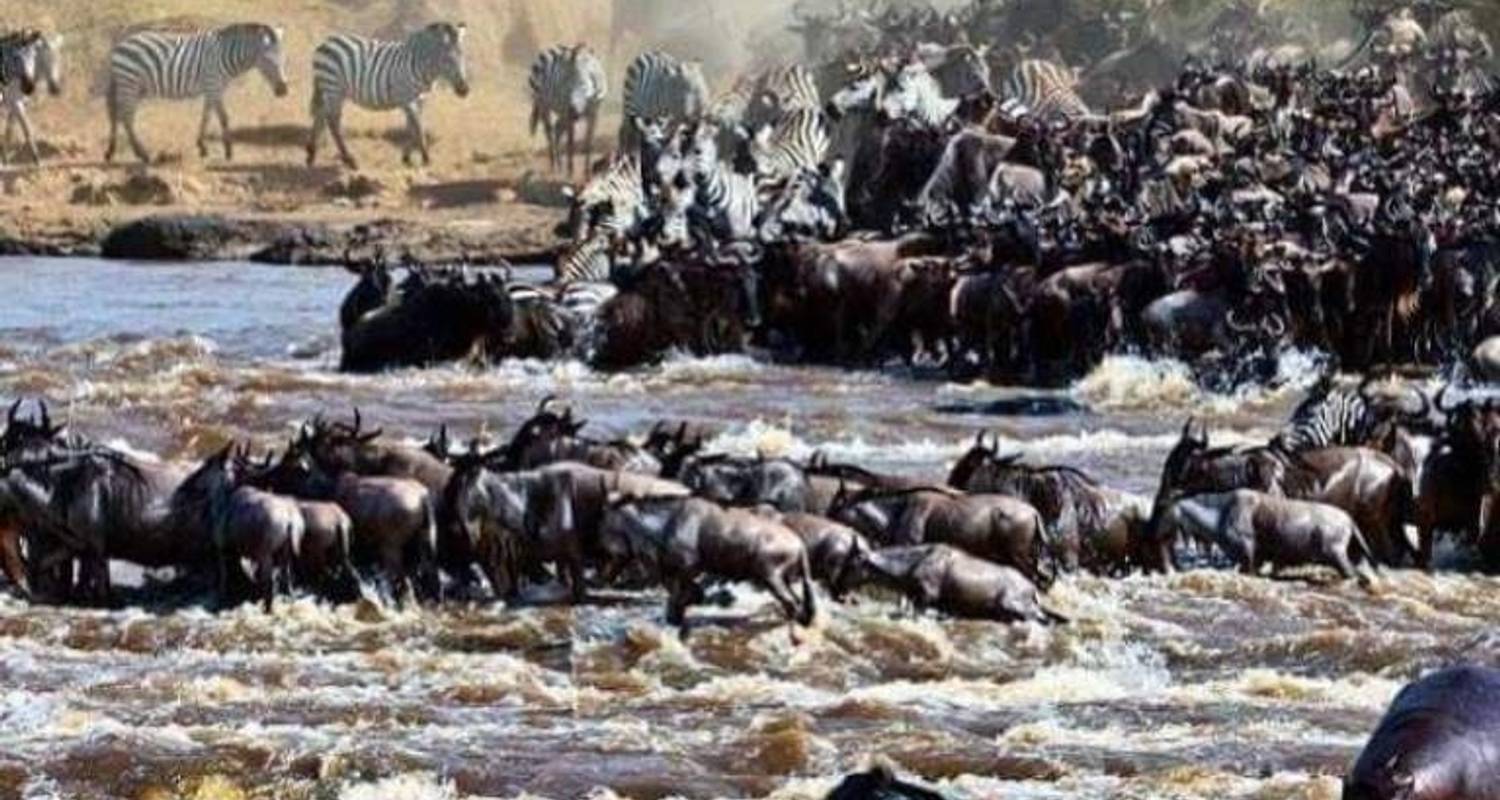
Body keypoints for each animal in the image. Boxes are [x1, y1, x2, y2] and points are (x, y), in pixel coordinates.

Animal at [0, 30, 61, 165]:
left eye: (57, 60)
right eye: (16, 58)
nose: (56, 89)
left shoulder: (15, 104)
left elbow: (9, 131)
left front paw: (5, 159)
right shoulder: (16, 103)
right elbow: (27, 130)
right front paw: (37, 159)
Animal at [105, 22, 289, 162]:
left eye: (283, 59)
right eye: (266, 60)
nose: (283, 90)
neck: (226, 55)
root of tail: (119, 44)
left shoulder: (212, 89)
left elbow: (206, 116)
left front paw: (202, 147)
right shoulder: (214, 86)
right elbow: (223, 118)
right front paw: (229, 152)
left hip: (136, 87)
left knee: (119, 116)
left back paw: (112, 152)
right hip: (129, 82)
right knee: (126, 117)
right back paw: (142, 154)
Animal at [306, 22, 465, 170]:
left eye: (463, 56)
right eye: (447, 60)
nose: (465, 90)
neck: (421, 67)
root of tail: (325, 42)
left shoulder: (420, 100)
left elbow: (412, 127)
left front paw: (406, 157)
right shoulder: (407, 98)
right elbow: (418, 128)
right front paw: (426, 159)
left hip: (329, 88)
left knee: (320, 115)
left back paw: (311, 156)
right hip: (333, 86)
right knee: (332, 121)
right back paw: (349, 160)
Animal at [531, 43, 606, 174]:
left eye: (582, 85)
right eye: (565, 86)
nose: (574, 111)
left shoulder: (594, 113)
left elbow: (589, 142)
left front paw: (587, 171)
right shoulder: (568, 114)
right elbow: (570, 143)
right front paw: (570, 171)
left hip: (561, 113)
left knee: (557, 129)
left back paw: (559, 164)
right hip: (543, 104)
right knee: (549, 132)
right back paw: (554, 165)